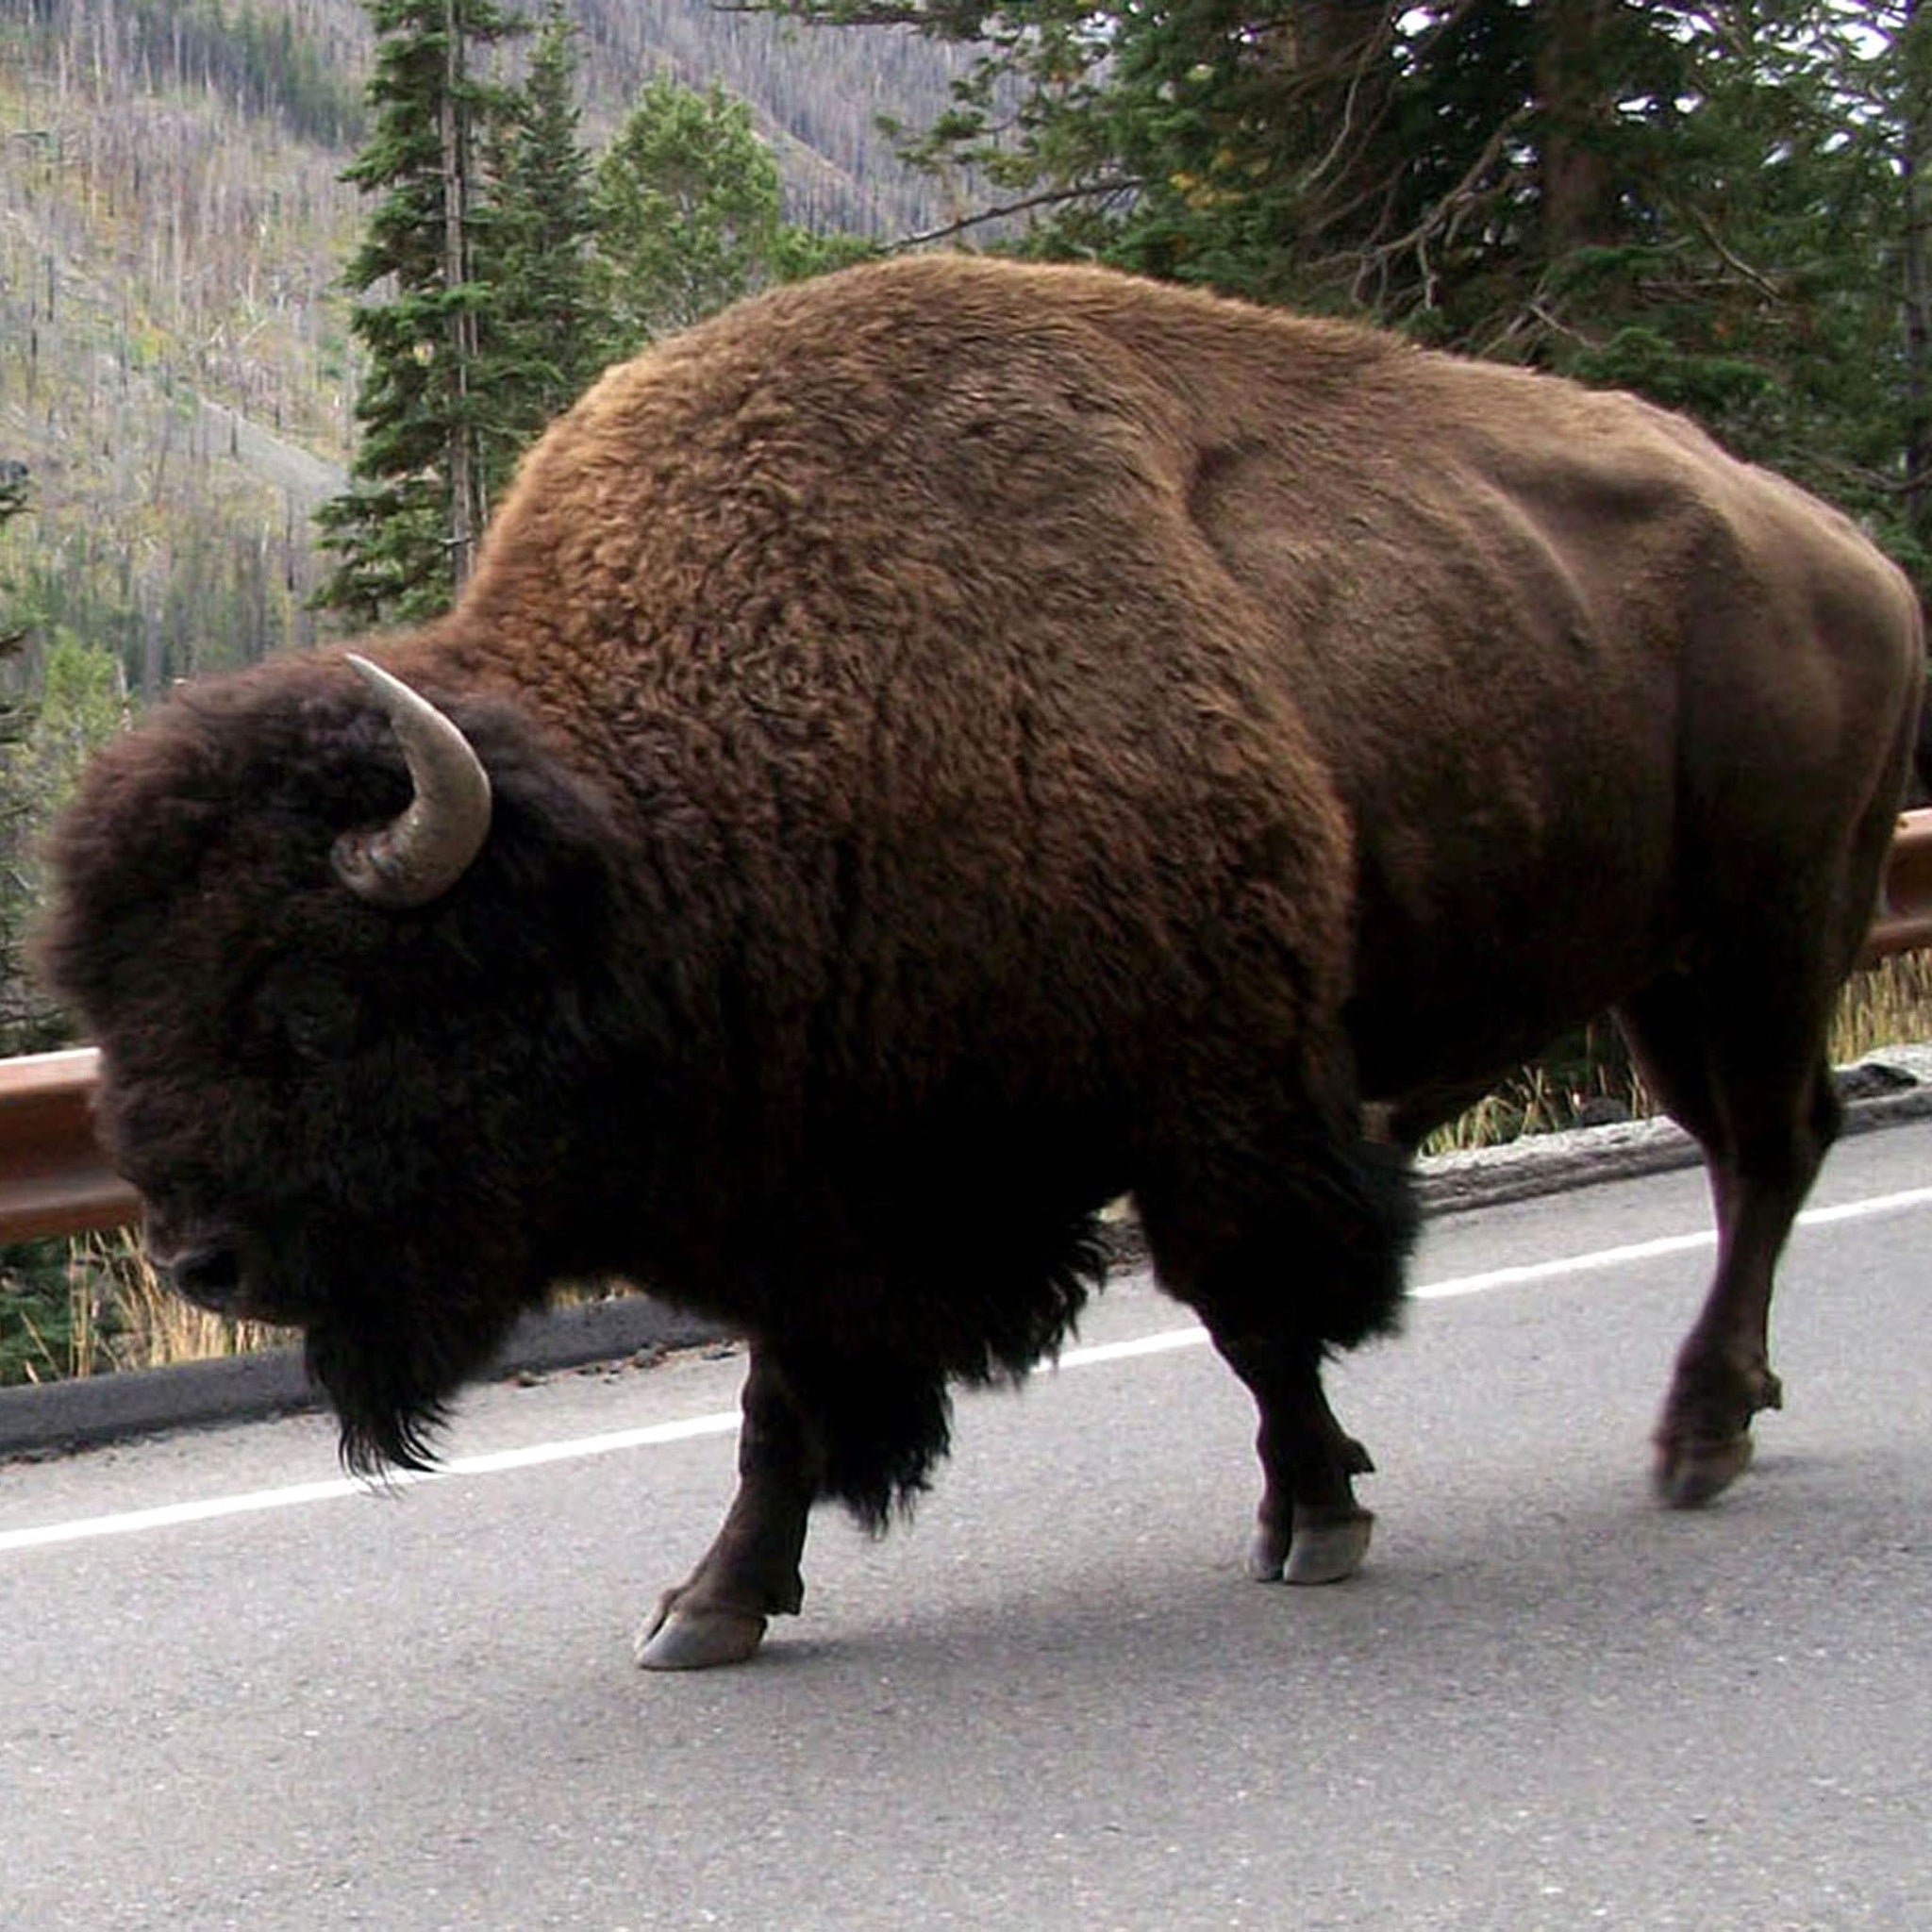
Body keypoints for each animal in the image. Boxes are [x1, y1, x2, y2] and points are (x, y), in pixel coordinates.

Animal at [41, 255, 1924, 1669]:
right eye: (120, 1003)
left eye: (310, 1002)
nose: (202, 1256)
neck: (673, 801)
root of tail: (1846, 556)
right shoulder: (812, 1186)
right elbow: (783, 1401)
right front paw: (708, 1606)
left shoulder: (1212, 1101)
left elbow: (1255, 1314)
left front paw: (1315, 1513)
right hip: (1667, 968)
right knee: (1749, 1150)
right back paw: (1725, 1411)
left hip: (1770, 933)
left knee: (1770, 1149)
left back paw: (1698, 1432)